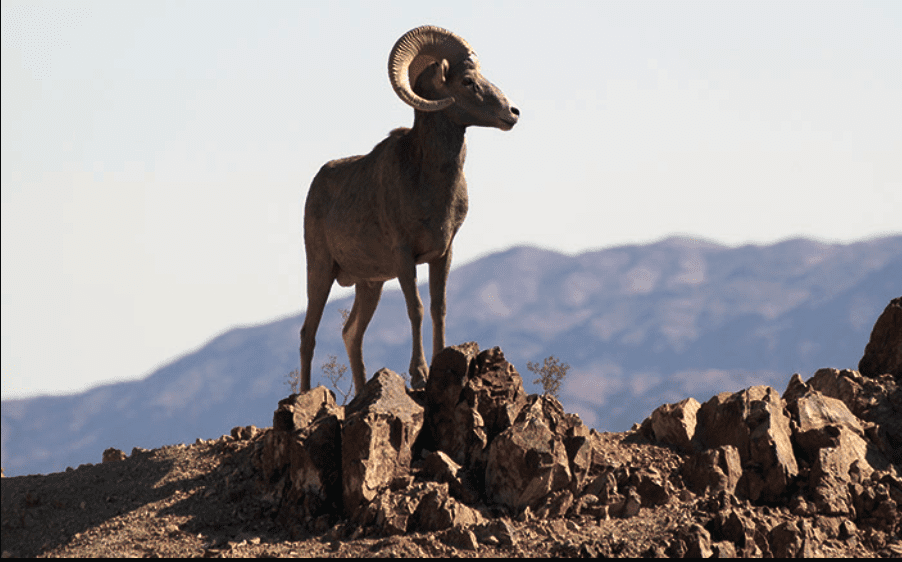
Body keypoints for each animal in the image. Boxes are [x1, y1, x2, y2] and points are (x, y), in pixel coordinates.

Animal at [299, 25, 519, 396]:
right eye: (467, 81)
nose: (513, 113)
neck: (426, 180)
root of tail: (316, 184)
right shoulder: (404, 256)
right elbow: (415, 309)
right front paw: (419, 375)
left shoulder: (442, 254)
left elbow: (437, 308)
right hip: (320, 270)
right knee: (308, 335)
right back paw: (303, 394)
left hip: (368, 285)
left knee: (351, 334)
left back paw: (362, 390)